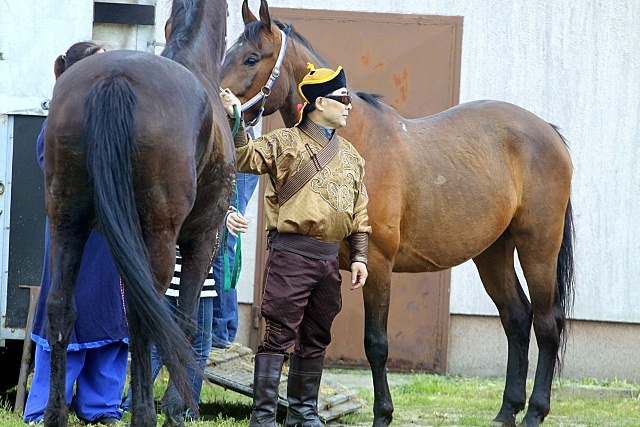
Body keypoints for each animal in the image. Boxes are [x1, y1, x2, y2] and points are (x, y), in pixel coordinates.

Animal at [42, 0, 235, 427]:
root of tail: (114, 78)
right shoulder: (202, 238)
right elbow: (184, 322)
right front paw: (176, 410)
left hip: (67, 221)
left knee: (61, 307)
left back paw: (55, 415)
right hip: (157, 237)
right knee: (144, 314)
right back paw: (145, 413)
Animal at [220, 0, 576, 427]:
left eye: (251, 58)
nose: (217, 104)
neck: (349, 139)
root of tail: (549, 132)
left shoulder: (376, 263)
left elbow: (376, 343)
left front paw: (383, 414)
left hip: (538, 246)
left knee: (546, 323)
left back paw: (534, 412)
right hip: (493, 252)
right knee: (517, 319)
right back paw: (507, 411)